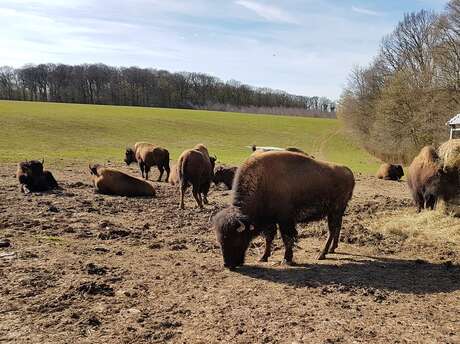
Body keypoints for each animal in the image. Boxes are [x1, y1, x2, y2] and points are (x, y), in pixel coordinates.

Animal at [213, 151, 356, 268]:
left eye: (236, 240)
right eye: (220, 240)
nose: (228, 265)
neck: (263, 181)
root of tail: (348, 172)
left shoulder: (285, 220)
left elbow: (287, 238)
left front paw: (287, 259)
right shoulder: (270, 221)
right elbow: (269, 238)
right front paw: (263, 257)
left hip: (335, 211)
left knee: (332, 230)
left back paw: (322, 254)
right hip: (335, 212)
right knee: (336, 228)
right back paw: (332, 249)